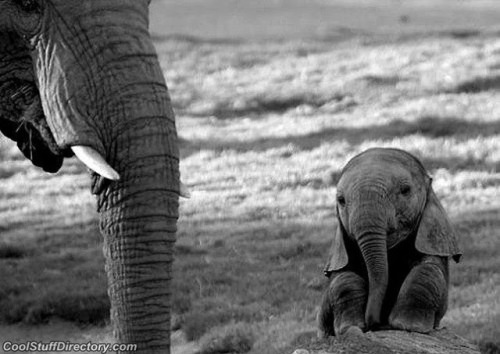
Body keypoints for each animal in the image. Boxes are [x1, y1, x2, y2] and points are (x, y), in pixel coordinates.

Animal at [318, 147, 462, 338]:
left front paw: (407, 326)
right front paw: (350, 328)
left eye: (405, 190)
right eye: (341, 200)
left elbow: (428, 269)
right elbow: (343, 278)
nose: (376, 324)